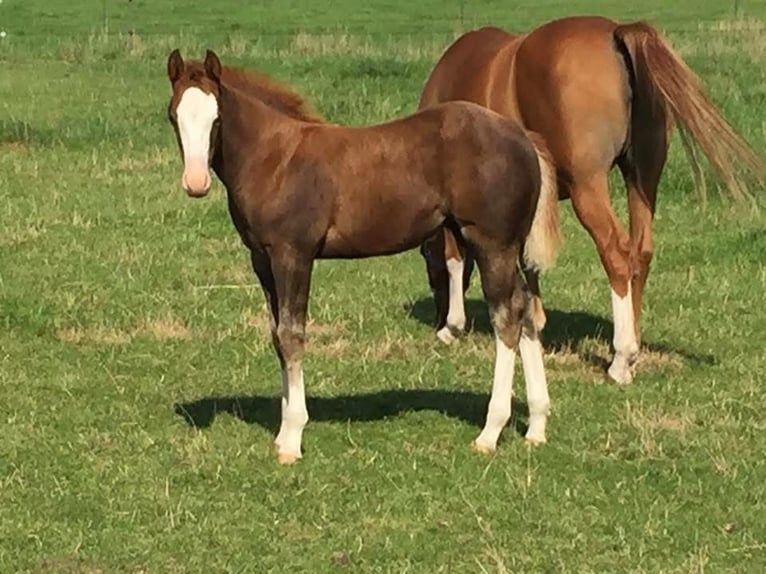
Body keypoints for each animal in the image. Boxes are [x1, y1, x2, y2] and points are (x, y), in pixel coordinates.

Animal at [170, 49, 564, 464]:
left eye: (216, 118)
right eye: (174, 116)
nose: (195, 183)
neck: (275, 159)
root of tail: (523, 137)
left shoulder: (293, 255)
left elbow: (293, 334)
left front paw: (292, 438)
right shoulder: (262, 260)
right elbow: (277, 336)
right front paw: (280, 433)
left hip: (491, 244)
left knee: (505, 317)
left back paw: (490, 432)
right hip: (506, 247)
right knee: (526, 308)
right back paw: (536, 425)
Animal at [424, 16, 764, 388]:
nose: (438, 314)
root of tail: (618, 30)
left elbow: (456, 256)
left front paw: (453, 326)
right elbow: (530, 259)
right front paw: (535, 317)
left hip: (589, 188)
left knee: (616, 254)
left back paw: (621, 359)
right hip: (642, 178)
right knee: (641, 252)